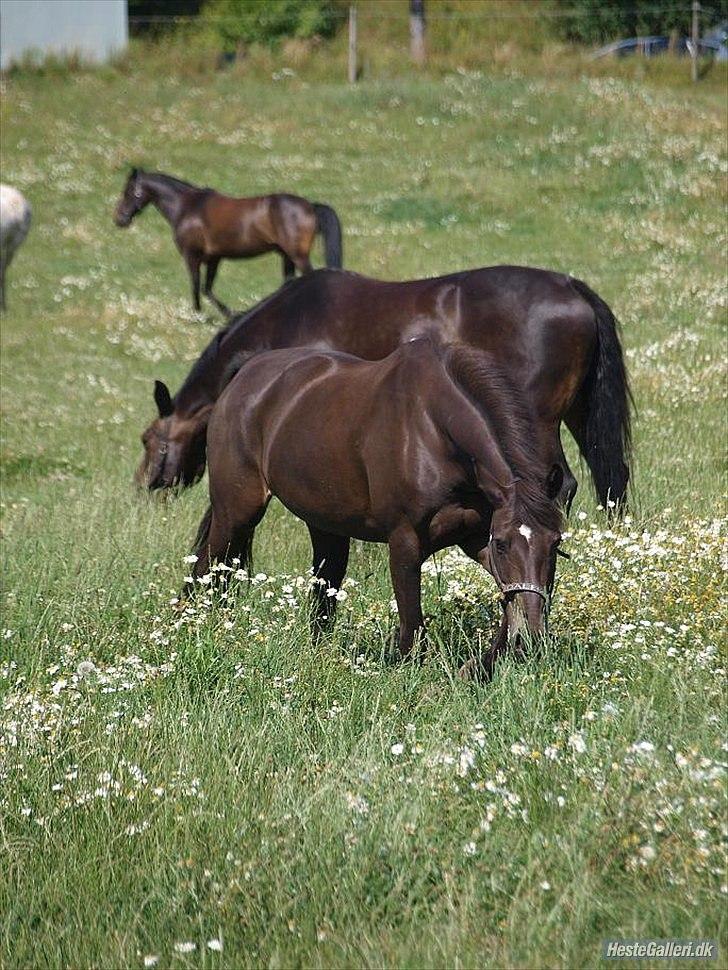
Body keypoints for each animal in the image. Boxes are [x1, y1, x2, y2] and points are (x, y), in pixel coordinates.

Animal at [112, 166, 342, 316]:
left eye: (128, 191)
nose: (119, 219)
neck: (187, 208)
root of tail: (310, 206)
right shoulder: (214, 258)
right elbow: (207, 288)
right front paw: (230, 314)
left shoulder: (192, 256)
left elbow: (196, 286)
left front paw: (198, 315)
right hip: (286, 256)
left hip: (297, 255)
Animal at [135, 260, 632, 510]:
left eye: (149, 440)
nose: (144, 488)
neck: (291, 320)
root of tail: (571, 288)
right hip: (578, 415)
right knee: (611, 479)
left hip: (538, 421)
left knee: (561, 483)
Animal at [188, 340, 564, 680]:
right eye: (503, 544)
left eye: (556, 543)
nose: (534, 637)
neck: (433, 429)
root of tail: (244, 376)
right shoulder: (406, 542)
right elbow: (412, 626)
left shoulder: (475, 538)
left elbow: (509, 604)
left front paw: (478, 667)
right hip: (236, 512)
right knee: (208, 568)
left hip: (325, 524)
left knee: (324, 589)